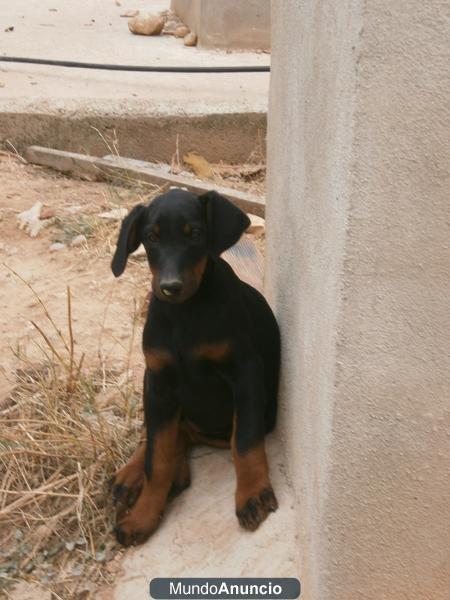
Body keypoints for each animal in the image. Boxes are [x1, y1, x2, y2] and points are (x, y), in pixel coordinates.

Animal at [110, 190, 278, 548]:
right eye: (151, 238)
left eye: (196, 234)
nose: (170, 287)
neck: (185, 313)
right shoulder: (158, 383)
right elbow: (156, 457)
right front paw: (143, 514)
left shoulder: (246, 373)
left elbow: (245, 442)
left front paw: (252, 493)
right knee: (166, 434)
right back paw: (133, 474)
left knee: (191, 433)